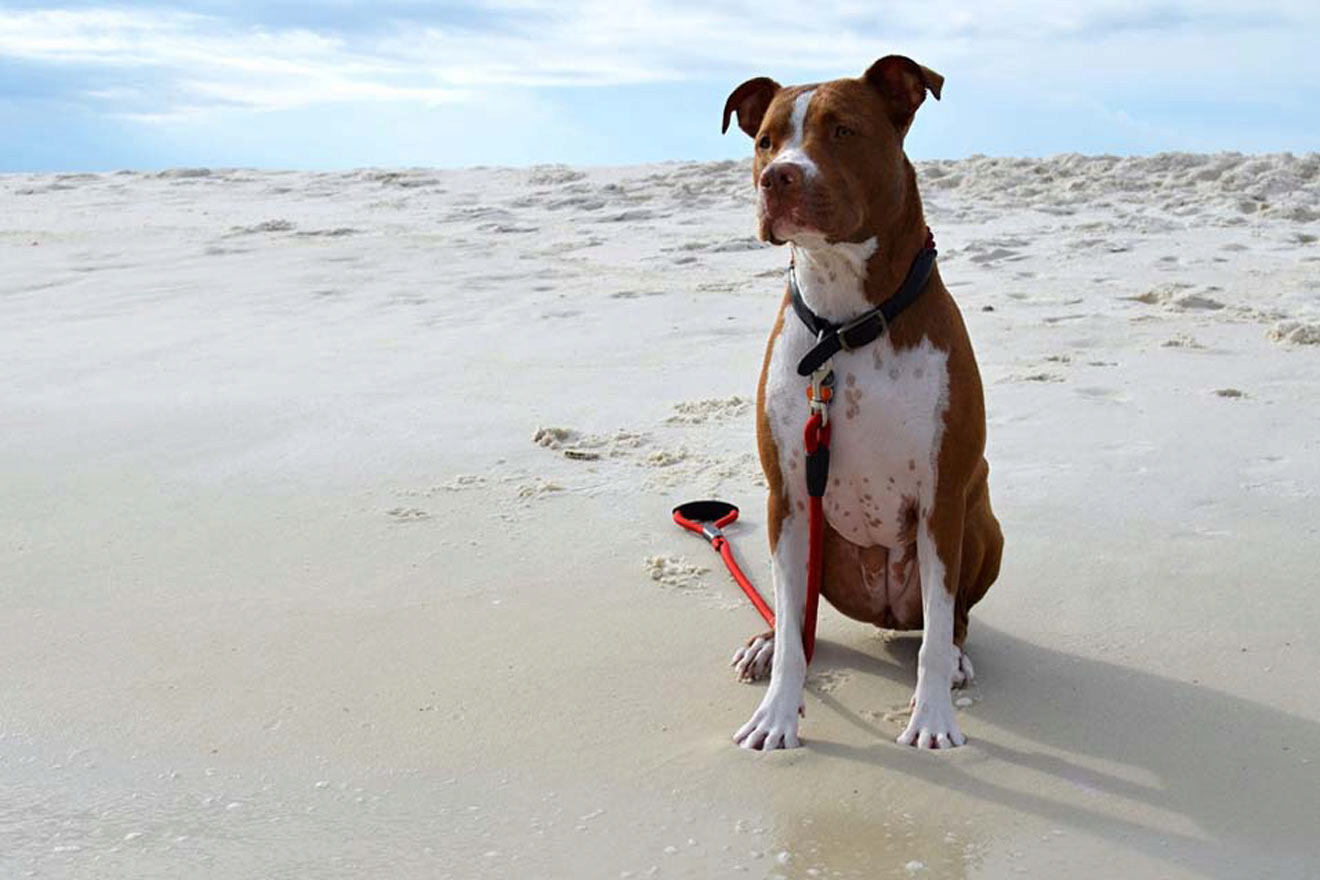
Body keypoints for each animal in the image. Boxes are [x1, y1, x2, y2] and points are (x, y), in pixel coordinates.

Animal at [723, 58, 997, 754]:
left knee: (950, 620)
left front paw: (933, 718)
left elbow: (935, 633)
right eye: (764, 141)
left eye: (843, 131)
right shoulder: (788, 496)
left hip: (979, 522)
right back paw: (767, 642)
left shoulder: (940, 498)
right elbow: (795, 633)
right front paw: (777, 713)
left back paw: (956, 658)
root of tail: (886, 611)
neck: (845, 326)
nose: (777, 176)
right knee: (796, 617)